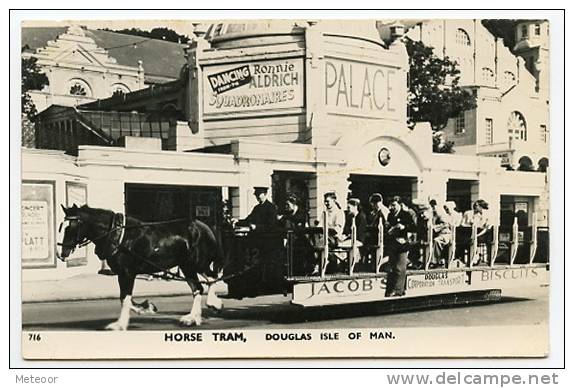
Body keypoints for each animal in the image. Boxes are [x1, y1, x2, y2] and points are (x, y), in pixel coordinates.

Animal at [56, 205, 227, 328]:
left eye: (70, 227)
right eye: (61, 226)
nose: (60, 253)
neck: (118, 236)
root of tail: (205, 227)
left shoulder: (127, 273)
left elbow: (125, 298)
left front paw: (120, 324)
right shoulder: (122, 273)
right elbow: (125, 298)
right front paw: (146, 307)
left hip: (195, 263)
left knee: (208, 280)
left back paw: (208, 306)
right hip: (188, 265)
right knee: (201, 286)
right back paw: (196, 316)